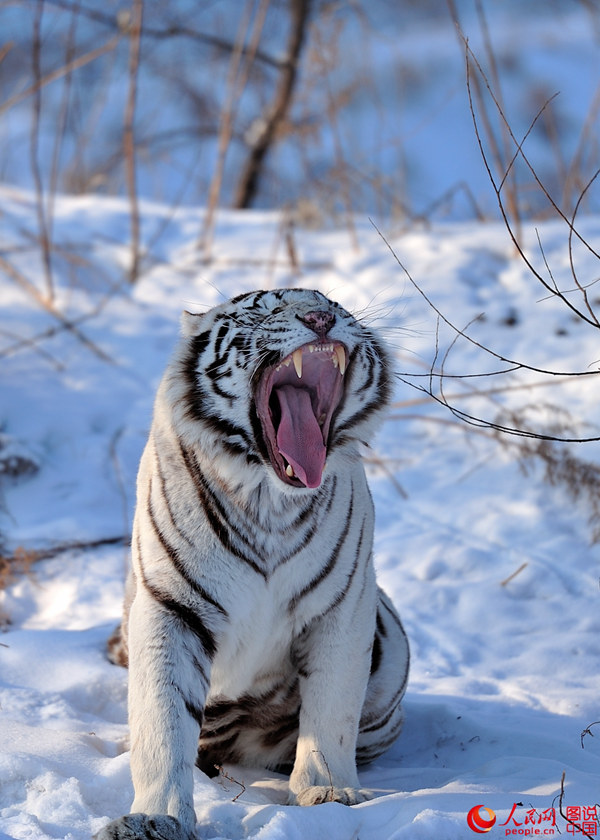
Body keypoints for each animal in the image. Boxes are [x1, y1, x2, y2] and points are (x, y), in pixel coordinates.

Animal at [97, 288, 408, 840]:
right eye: (266, 309)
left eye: (334, 304)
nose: (321, 318)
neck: (271, 501)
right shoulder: (172, 607)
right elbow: (162, 722)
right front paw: (156, 817)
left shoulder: (344, 607)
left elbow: (332, 710)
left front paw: (328, 794)